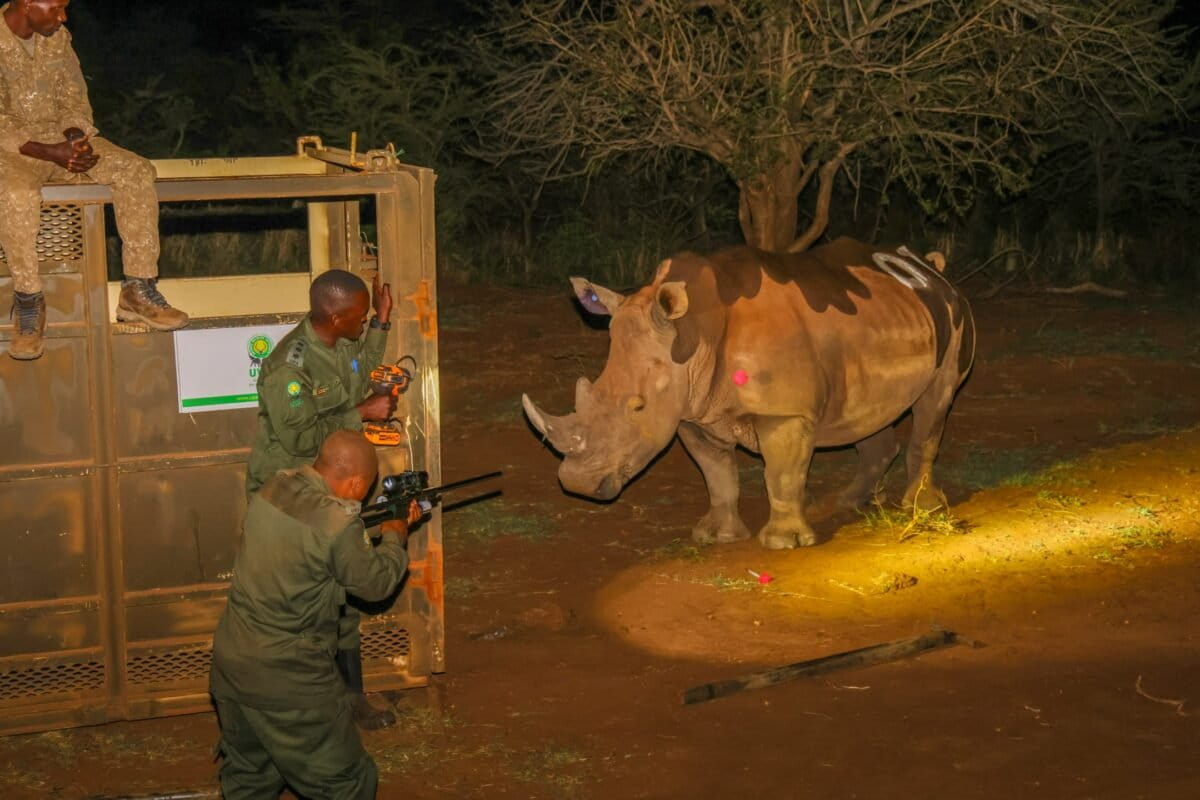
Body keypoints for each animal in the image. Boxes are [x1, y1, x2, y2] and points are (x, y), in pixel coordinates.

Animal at [522, 237, 975, 549]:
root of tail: (930, 268)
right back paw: (850, 503)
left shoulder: (783, 411)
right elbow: (717, 474)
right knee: (869, 413)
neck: (692, 335)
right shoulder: (693, 411)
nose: (578, 484)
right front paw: (716, 536)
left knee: (935, 404)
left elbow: (782, 473)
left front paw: (783, 543)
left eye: (638, 406)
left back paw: (921, 508)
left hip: (954, 321)